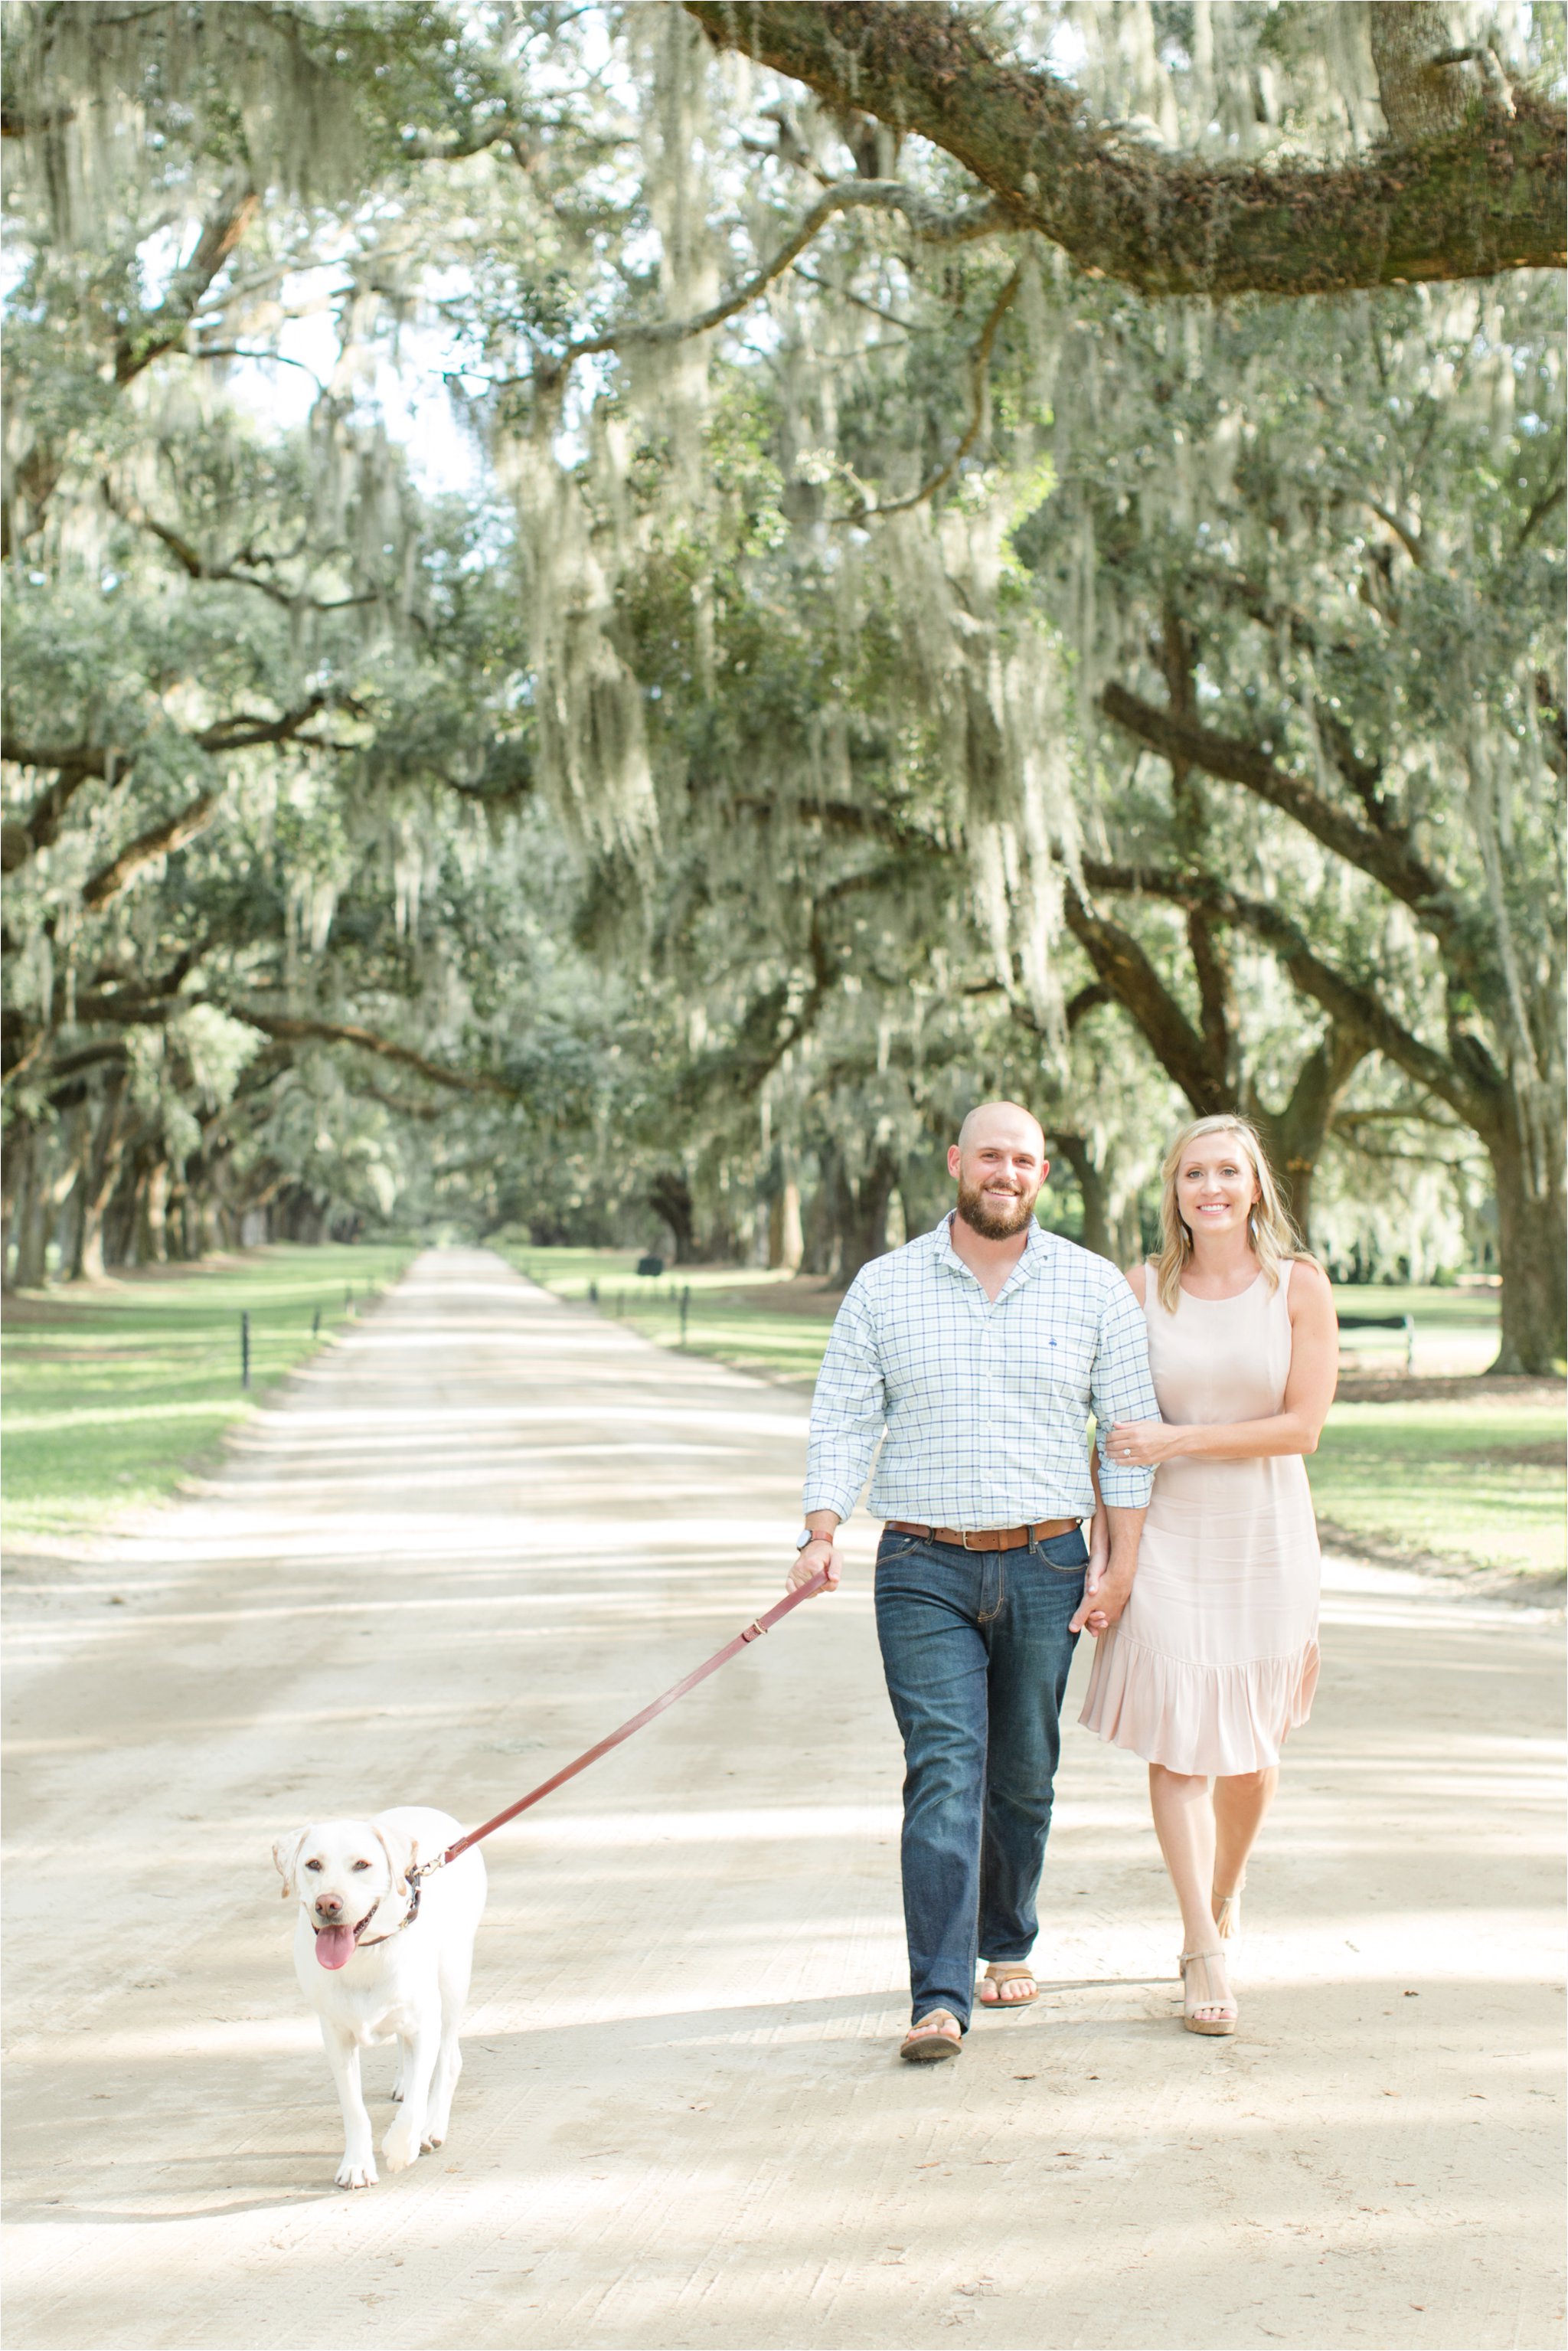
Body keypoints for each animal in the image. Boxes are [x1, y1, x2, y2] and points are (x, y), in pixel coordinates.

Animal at [273, 1805, 484, 2191]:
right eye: (313, 1864)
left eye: (362, 1865)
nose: (328, 1904)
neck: (365, 1954)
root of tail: (426, 1810)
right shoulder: (336, 2036)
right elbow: (354, 2108)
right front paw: (357, 2165)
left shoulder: (425, 2024)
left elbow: (415, 2102)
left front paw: (402, 2148)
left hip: (452, 1982)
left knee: (448, 2059)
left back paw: (431, 2127)